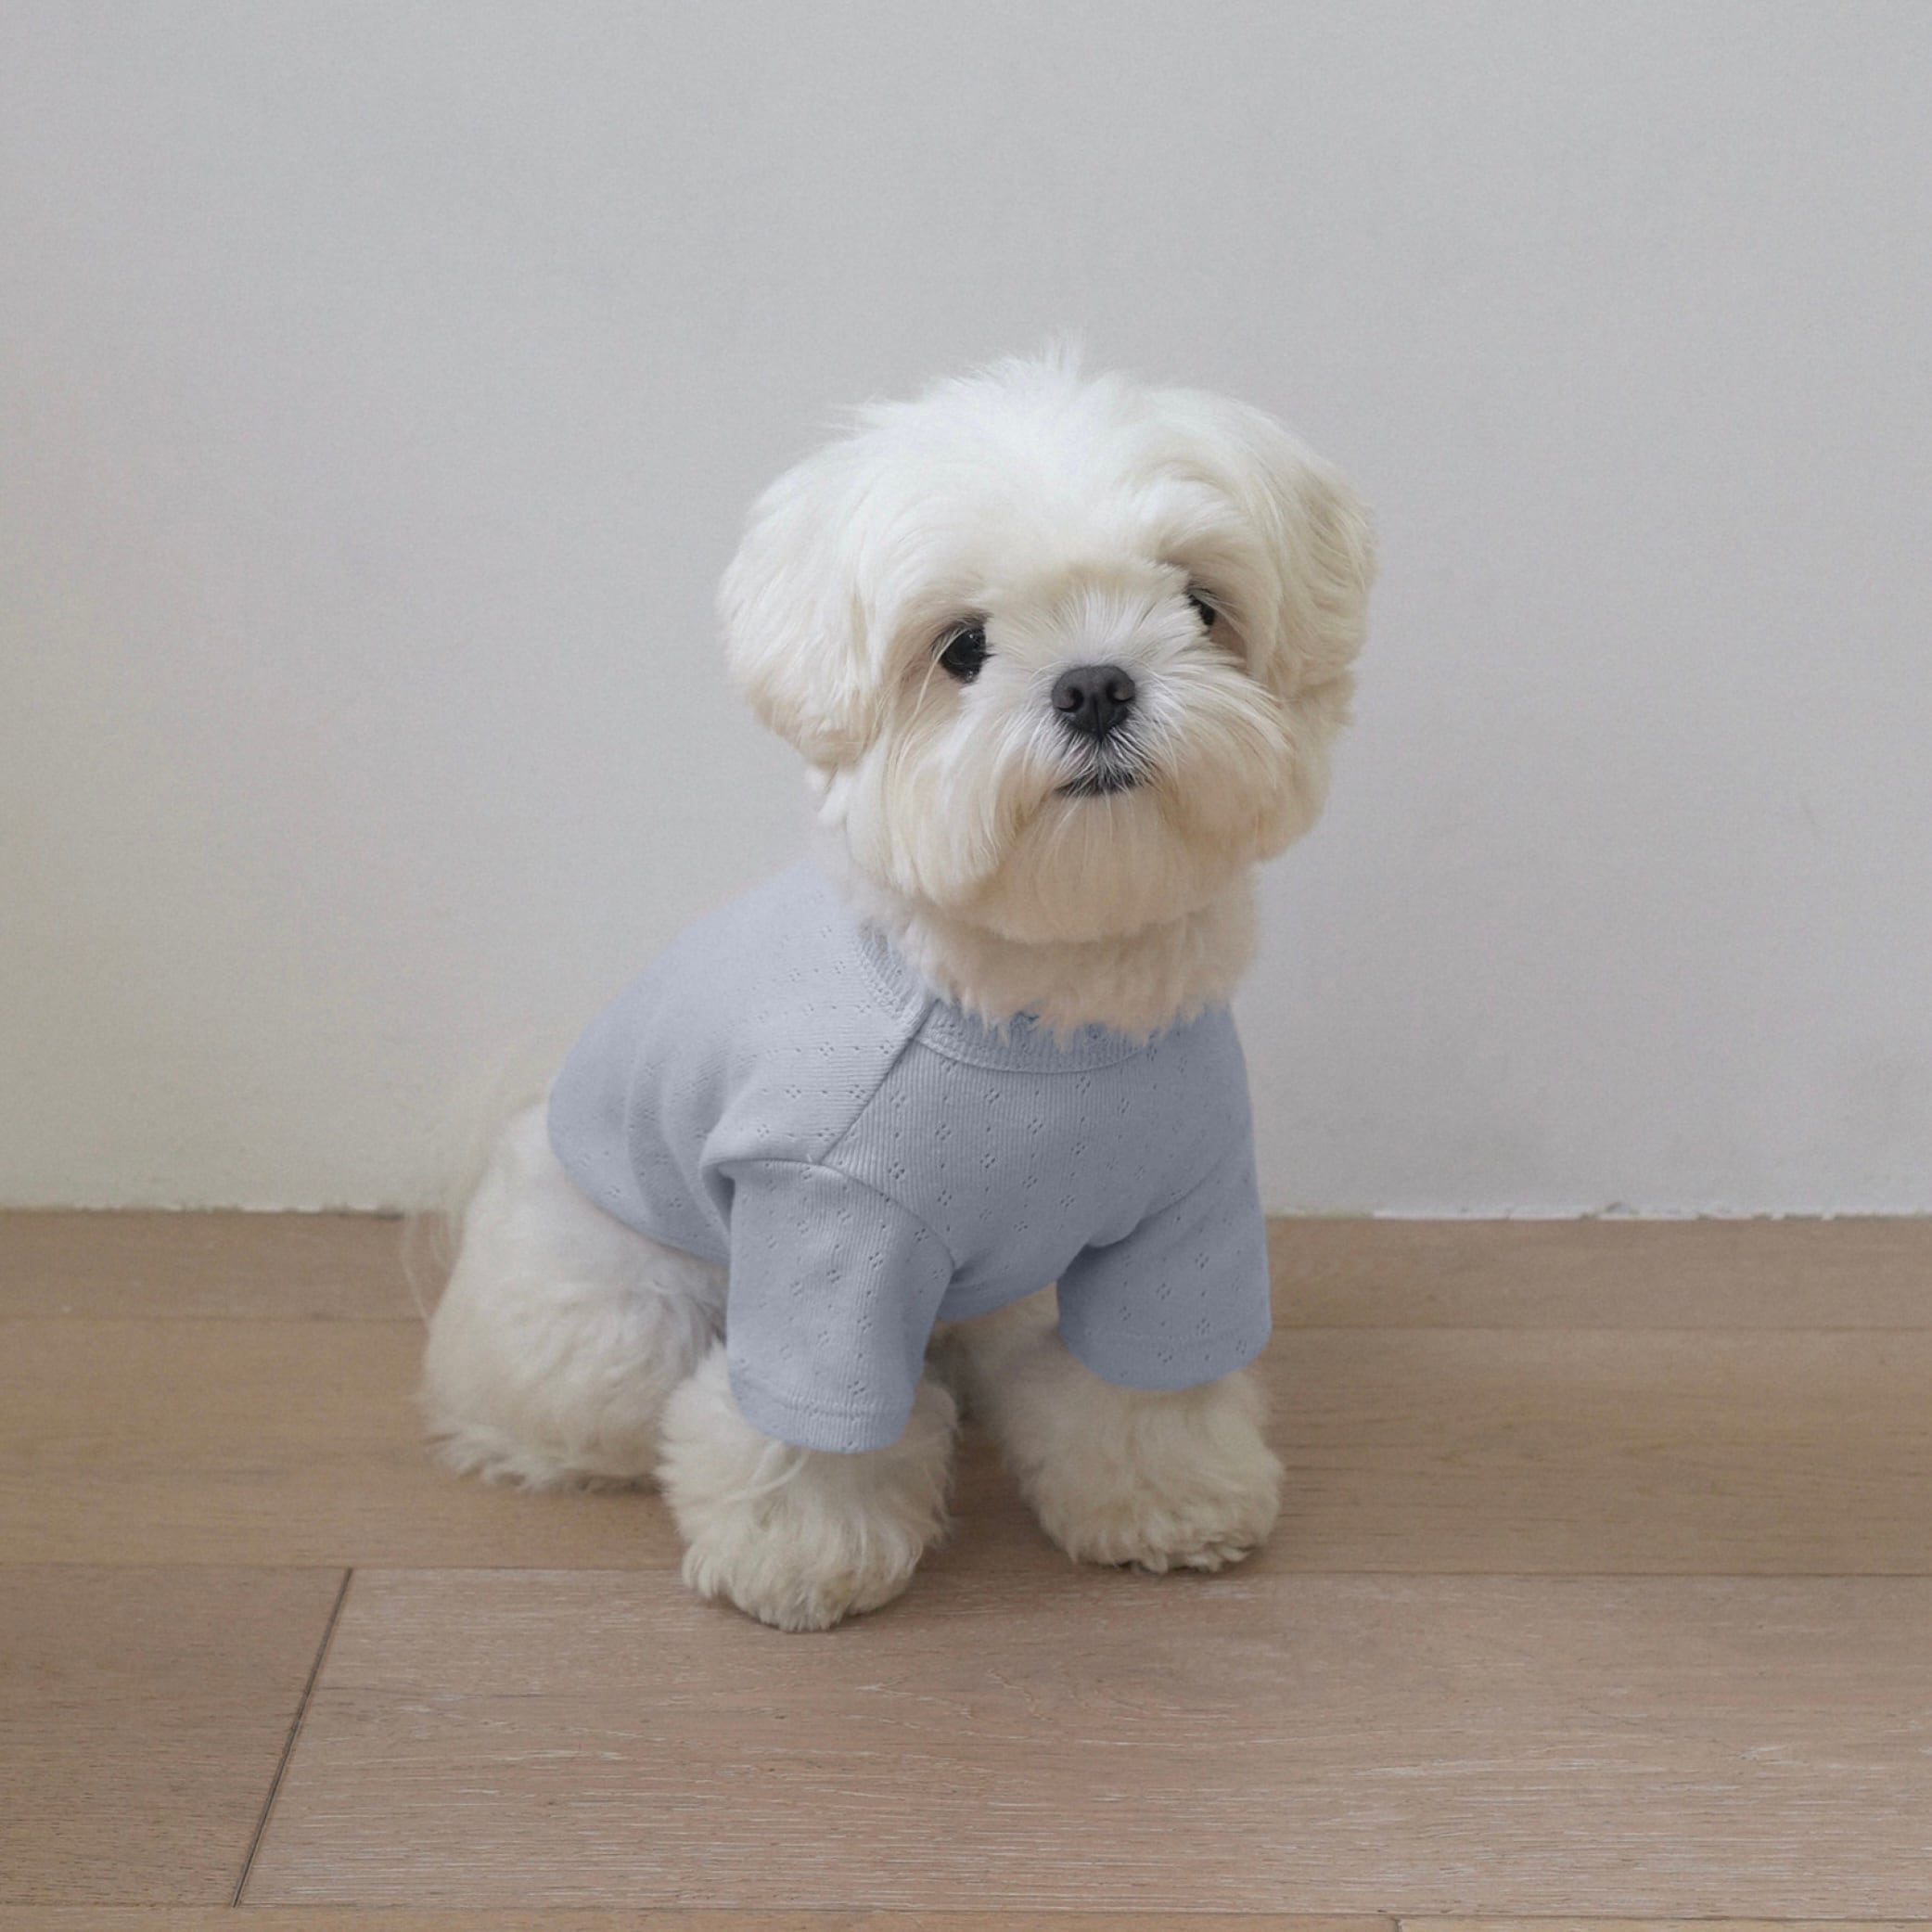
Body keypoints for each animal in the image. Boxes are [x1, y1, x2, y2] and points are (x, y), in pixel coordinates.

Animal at [421, 352, 1374, 1630]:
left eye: (1198, 604)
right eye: (961, 647)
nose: (1094, 685)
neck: (1042, 1009)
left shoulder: (1184, 1213)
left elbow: (1143, 1383)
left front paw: (1163, 1499)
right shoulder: (825, 1228)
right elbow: (802, 1423)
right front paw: (799, 1552)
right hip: (616, 1322)